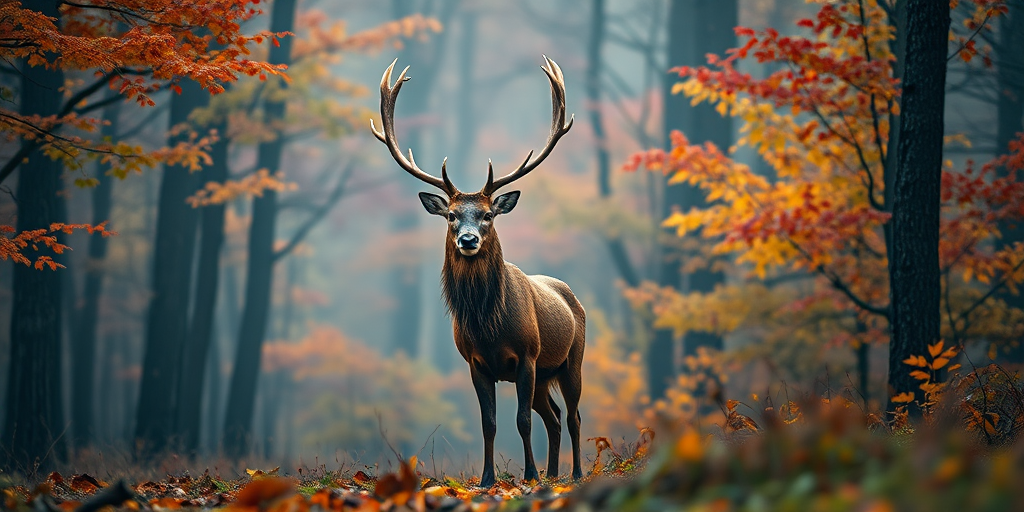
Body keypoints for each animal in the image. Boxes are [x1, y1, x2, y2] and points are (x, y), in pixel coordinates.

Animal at [370, 56, 585, 487]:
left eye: (487, 214)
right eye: (452, 215)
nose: (468, 239)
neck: (490, 326)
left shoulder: (528, 356)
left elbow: (521, 421)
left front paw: (529, 475)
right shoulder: (474, 362)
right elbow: (489, 423)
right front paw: (488, 479)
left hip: (573, 360)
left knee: (572, 417)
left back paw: (575, 474)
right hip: (546, 376)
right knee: (553, 418)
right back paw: (554, 474)